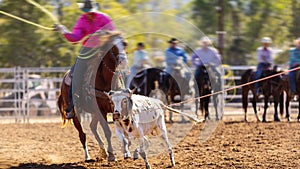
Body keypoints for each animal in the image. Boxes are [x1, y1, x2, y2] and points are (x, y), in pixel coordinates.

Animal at [56, 31, 127, 162]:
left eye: (125, 44)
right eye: (113, 47)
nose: (124, 61)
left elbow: (122, 130)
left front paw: (126, 152)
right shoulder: (101, 111)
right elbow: (107, 131)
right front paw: (112, 155)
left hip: (95, 112)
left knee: (92, 127)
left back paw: (103, 151)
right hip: (77, 114)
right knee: (82, 134)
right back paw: (87, 156)